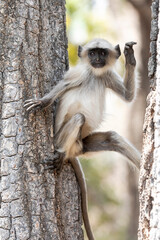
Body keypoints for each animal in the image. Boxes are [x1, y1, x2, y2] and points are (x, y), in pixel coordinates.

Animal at [24, 38, 141, 239]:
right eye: (92, 53)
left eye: (102, 53)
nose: (96, 59)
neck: (94, 74)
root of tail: (73, 149)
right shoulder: (78, 73)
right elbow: (60, 88)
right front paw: (42, 102)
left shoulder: (107, 74)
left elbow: (128, 96)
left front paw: (130, 57)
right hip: (60, 138)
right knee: (79, 118)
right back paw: (61, 155)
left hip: (84, 144)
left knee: (113, 138)